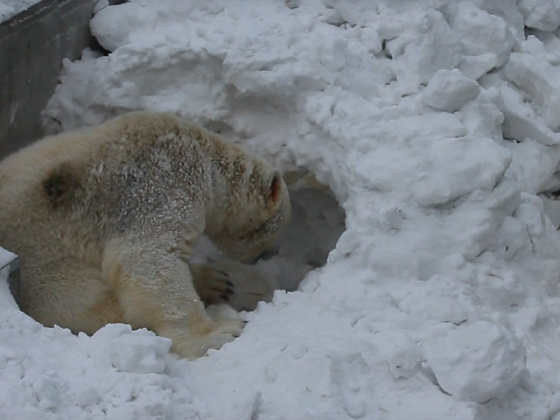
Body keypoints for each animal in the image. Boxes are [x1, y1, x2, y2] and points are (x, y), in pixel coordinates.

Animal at [0, 110, 290, 358]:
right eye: (277, 227)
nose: (271, 253)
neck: (205, 158)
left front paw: (218, 281)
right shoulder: (161, 186)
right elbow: (149, 260)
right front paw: (220, 332)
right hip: (46, 264)